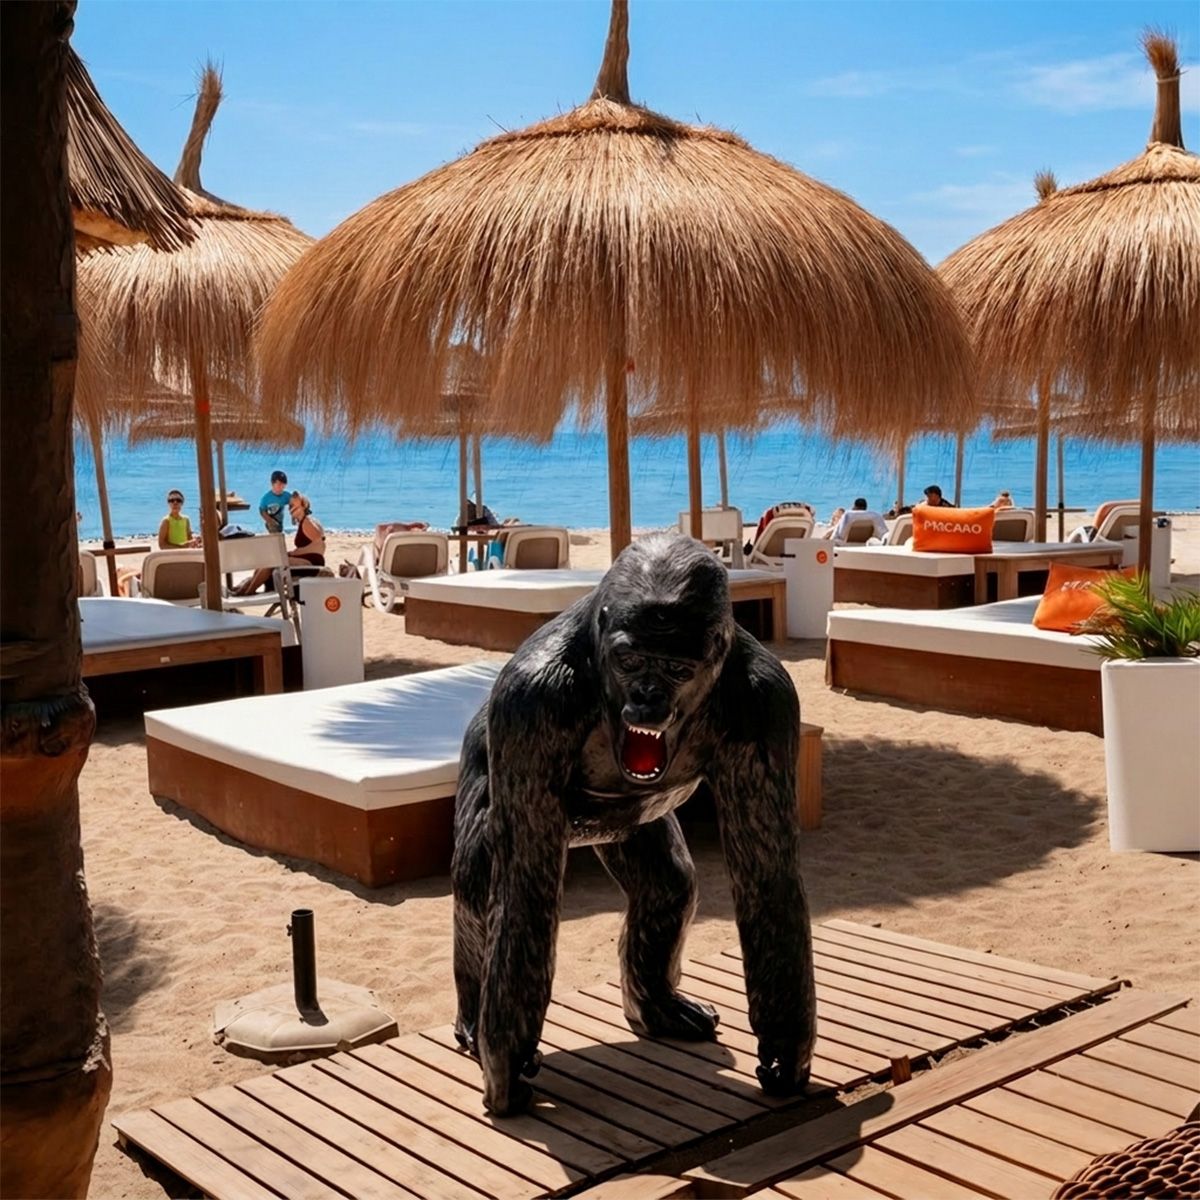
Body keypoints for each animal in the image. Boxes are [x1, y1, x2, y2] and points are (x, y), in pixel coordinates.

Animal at [451, 532, 816, 1115]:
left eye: (677, 670)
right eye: (630, 660)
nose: (647, 697)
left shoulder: (770, 703)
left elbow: (768, 876)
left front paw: (787, 1047)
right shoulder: (529, 703)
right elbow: (522, 889)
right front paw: (504, 1062)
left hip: (632, 826)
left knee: (669, 888)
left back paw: (659, 1007)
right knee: (477, 887)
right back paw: (471, 1013)